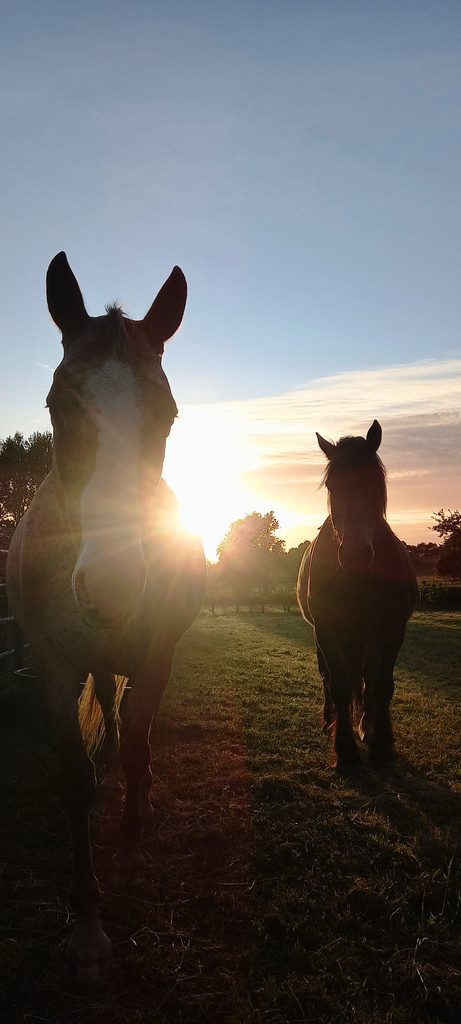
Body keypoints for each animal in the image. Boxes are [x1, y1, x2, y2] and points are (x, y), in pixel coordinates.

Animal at [6, 253, 207, 982]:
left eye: (168, 415)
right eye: (58, 405)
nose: (116, 586)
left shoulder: (155, 658)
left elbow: (143, 749)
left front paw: (128, 852)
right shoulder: (54, 667)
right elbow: (75, 780)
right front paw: (87, 924)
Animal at [297, 420, 418, 772]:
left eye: (376, 483)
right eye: (331, 486)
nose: (354, 555)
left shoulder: (392, 630)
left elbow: (381, 684)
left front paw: (381, 744)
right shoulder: (327, 629)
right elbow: (338, 684)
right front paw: (346, 751)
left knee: (365, 676)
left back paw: (367, 725)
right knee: (330, 678)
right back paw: (329, 721)